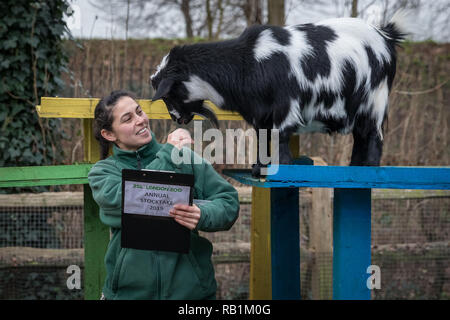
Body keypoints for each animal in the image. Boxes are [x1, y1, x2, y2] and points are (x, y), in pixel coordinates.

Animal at [149, 11, 410, 176]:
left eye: (168, 93)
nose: (176, 118)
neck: (248, 62)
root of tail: (386, 35)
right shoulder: (260, 115)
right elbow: (263, 138)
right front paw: (258, 167)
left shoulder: (285, 107)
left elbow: (279, 137)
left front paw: (280, 167)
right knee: (360, 135)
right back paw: (354, 167)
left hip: (374, 100)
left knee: (373, 135)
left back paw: (370, 168)